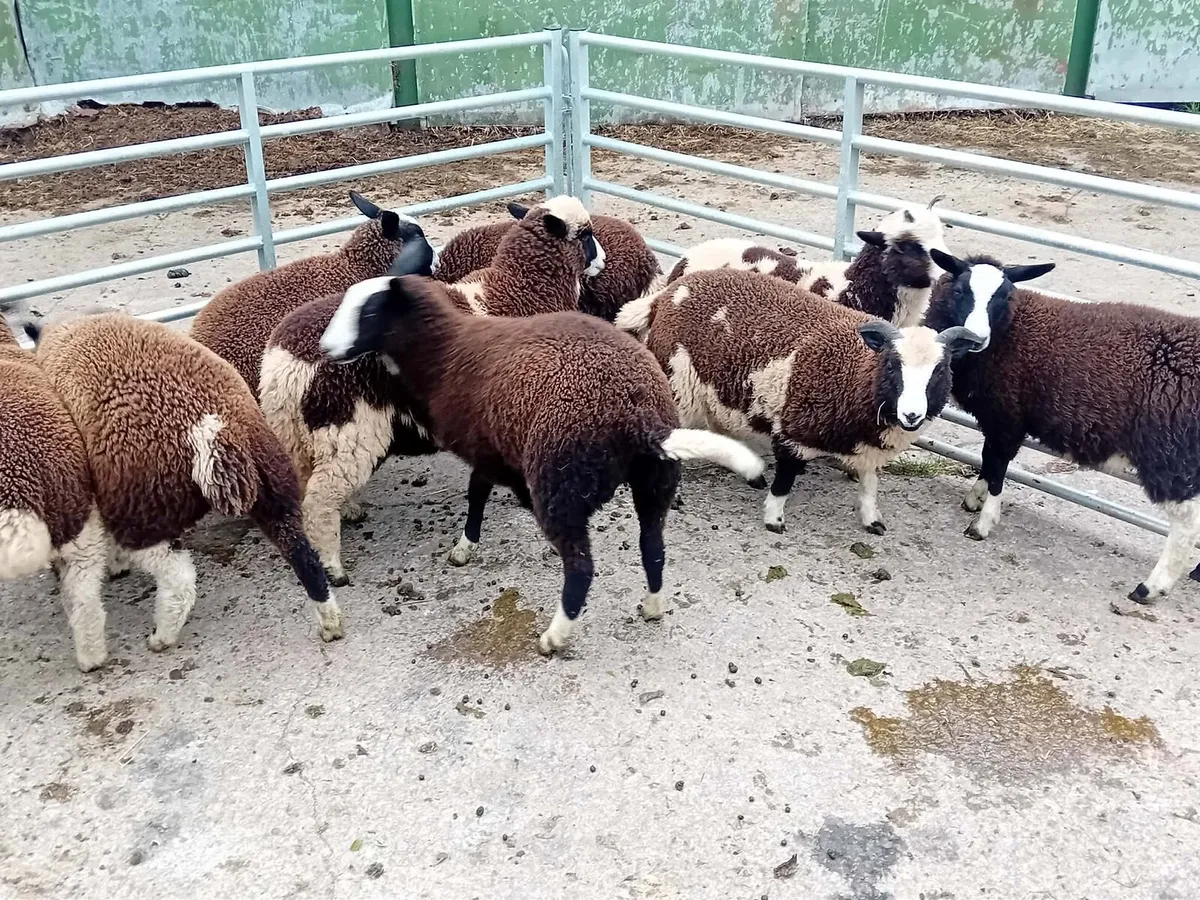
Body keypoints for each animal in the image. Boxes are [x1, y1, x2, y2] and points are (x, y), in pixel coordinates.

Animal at [25, 312, 344, 666]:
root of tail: (211, 427)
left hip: (142, 506)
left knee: (178, 579)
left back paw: (157, 638)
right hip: (274, 484)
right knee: (304, 556)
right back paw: (330, 622)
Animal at [258, 195, 603, 585]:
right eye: (585, 234)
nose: (602, 261)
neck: (514, 296)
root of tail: (285, 362)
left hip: (297, 435)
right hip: (347, 427)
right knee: (319, 498)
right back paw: (333, 567)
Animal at [316, 249, 767, 655]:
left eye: (368, 314)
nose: (326, 349)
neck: (444, 353)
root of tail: (640, 419)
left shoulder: (487, 450)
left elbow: (478, 494)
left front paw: (466, 546)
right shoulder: (498, 450)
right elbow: (489, 491)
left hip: (561, 480)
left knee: (582, 566)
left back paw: (555, 636)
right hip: (654, 480)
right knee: (653, 547)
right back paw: (652, 606)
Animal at [615, 268, 982, 534]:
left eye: (941, 369)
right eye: (892, 364)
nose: (911, 414)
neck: (856, 372)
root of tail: (664, 296)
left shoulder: (866, 448)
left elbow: (869, 484)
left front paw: (872, 520)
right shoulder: (794, 430)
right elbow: (785, 480)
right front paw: (774, 520)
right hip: (678, 383)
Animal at [924, 249, 1200, 605]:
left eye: (1005, 297)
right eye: (959, 291)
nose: (977, 339)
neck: (1011, 332)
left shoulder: (1008, 417)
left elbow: (997, 468)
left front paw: (982, 523)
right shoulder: (997, 419)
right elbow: (987, 459)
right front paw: (975, 497)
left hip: (1169, 451)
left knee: (1186, 525)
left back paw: (1151, 587)